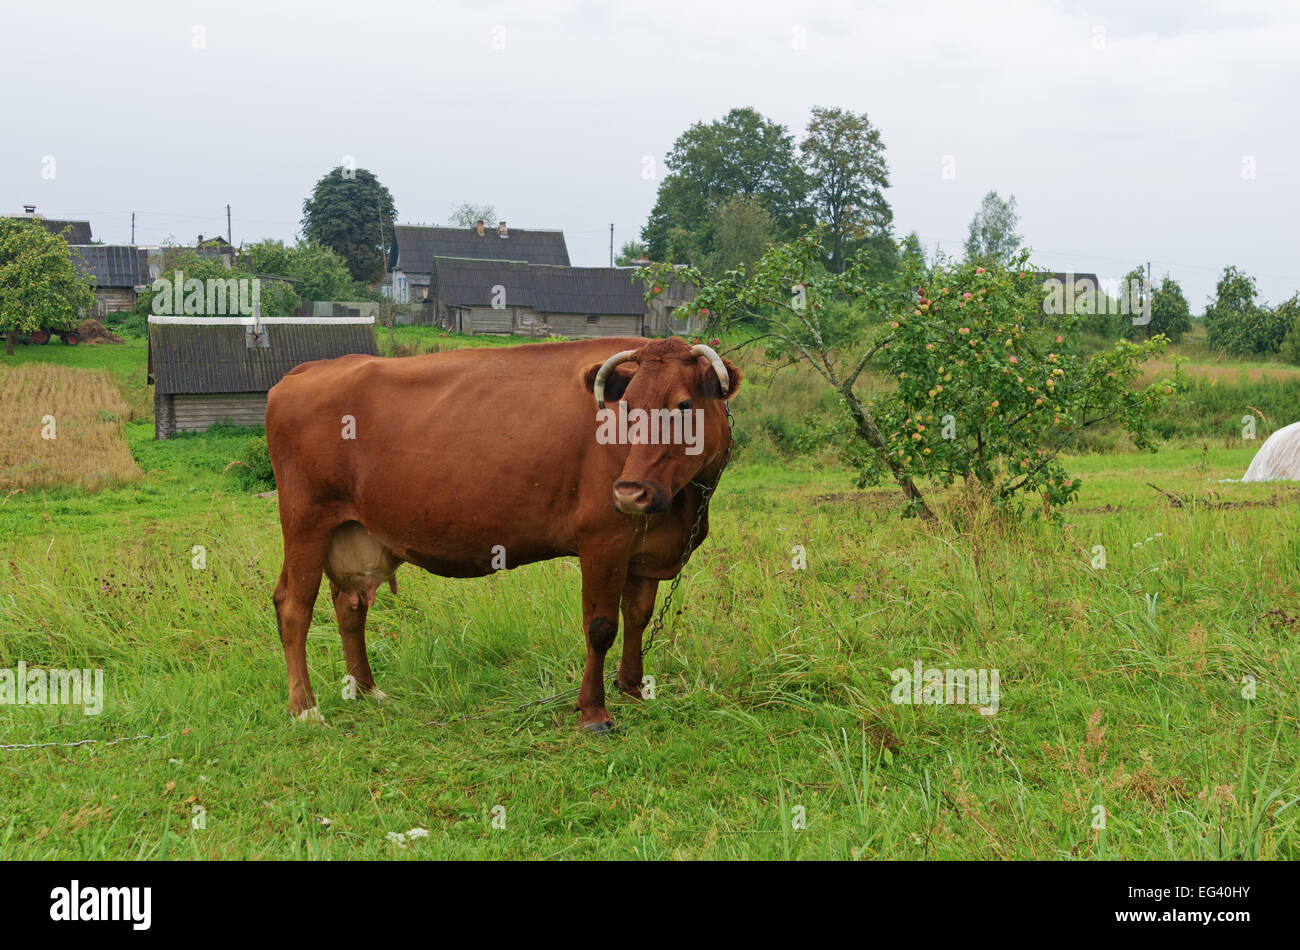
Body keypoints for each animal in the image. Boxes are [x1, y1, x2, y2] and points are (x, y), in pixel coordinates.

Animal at [265, 336, 741, 733]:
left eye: (683, 406)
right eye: (627, 407)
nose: (629, 492)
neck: (683, 507)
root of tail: (307, 369)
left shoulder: (644, 549)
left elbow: (637, 617)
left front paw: (634, 690)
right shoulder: (602, 538)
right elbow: (601, 626)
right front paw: (593, 712)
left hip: (351, 532)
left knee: (350, 606)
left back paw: (366, 690)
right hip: (306, 521)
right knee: (294, 607)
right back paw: (305, 709)